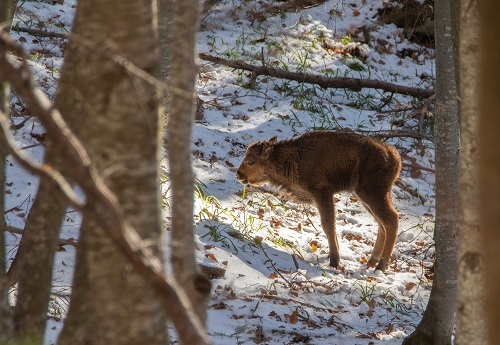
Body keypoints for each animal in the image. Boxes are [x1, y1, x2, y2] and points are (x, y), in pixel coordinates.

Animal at [236, 130, 404, 270]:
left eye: (250, 161)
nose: (238, 174)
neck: (294, 157)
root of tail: (394, 155)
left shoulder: (322, 193)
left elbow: (328, 225)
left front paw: (334, 261)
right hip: (366, 197)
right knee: (382, 224)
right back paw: (372, 262)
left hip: (372, 194)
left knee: (391, 219)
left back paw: (381, 265)